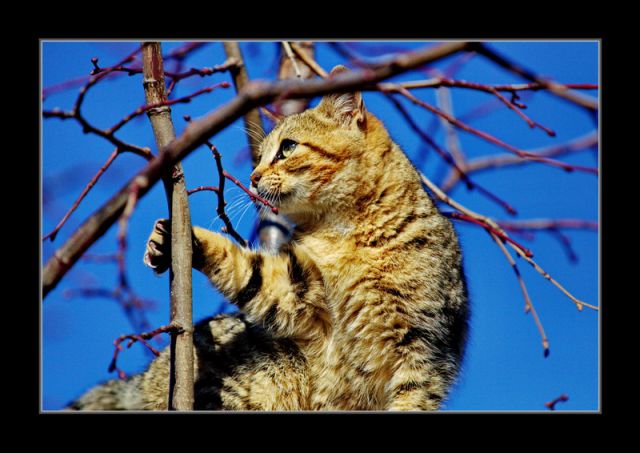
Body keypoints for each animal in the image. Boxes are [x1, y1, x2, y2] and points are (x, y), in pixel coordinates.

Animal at [69, 66, 470, 410]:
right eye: (260, 156)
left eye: (288, 148)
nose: (253, 176)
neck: (344, 232)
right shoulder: (298, 291)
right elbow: (246, 268)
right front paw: (185, 242)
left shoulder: (422, 351)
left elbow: (411, 398)